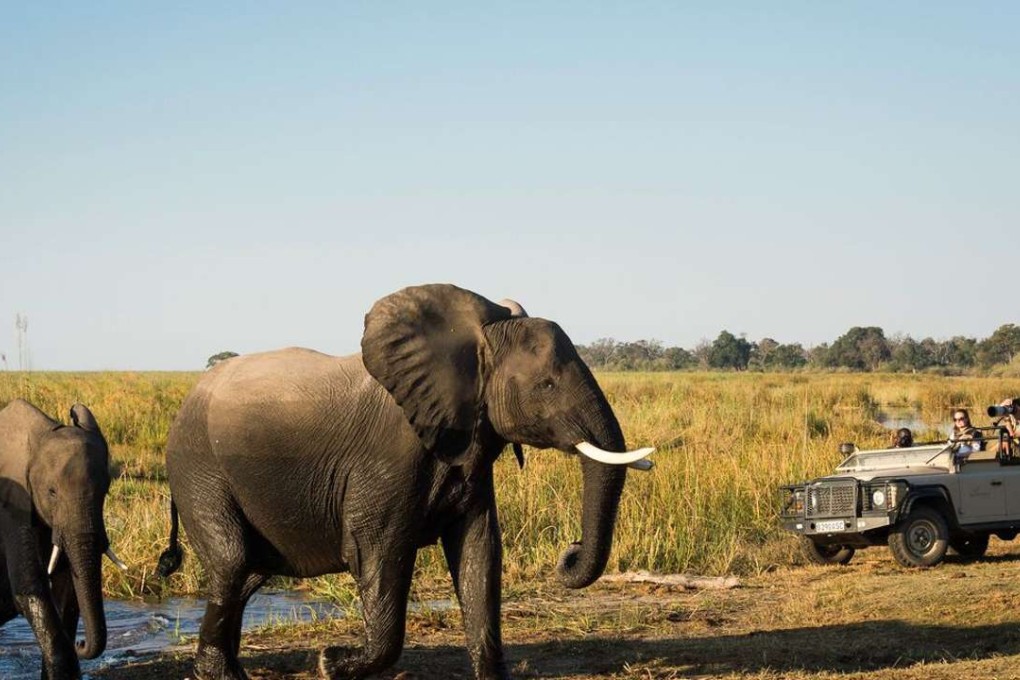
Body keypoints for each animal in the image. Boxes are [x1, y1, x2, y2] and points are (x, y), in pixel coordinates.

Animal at [0, 399, 124, 680]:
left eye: (105, 490)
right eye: (52, 492)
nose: (81, 642)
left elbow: (67, 587)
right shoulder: (11, 502)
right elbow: (30, 586)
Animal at [158, 283, 654, 680]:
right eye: (547, 386)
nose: (568, 552)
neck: (475, 341)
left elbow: (479, 553)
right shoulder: (388, 460)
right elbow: (376, 552)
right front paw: (329, 663)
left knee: (248, 573)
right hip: (197, 469)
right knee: (232, 561)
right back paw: (223, 675)